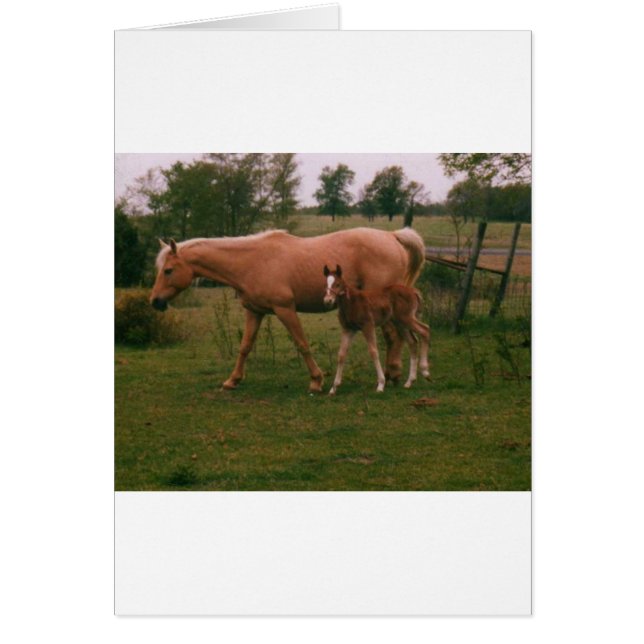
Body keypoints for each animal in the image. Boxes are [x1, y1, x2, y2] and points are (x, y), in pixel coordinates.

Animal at [323, 264, 430, 394]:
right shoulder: (348, 329)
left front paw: (381, 384)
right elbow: (341, 354)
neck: (351, 302)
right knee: (412, 342)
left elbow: (373, 351)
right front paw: (334, 387)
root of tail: (413, 291)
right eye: (326, 283)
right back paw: (410, 381)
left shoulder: (368, 325)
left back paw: (425, 371)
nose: (327, 300)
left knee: (425, 330)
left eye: (338, 284)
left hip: (406, 318)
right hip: (400, 323)